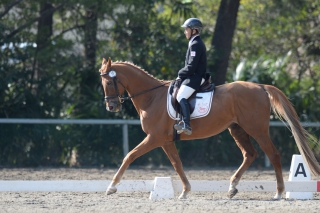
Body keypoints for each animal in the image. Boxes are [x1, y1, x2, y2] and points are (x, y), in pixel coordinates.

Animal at [99, 57, 320, 199]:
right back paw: (232, 188)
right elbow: (177, 164)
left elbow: (129, 156)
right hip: (237, 129)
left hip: (257, 130)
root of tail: (260, 86)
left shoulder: (154, 138)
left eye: (109, 82)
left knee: (273, 155)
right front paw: (185, 191)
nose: (111, 107)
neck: (151, 98)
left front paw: (111, 187)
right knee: (250, 154)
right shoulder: (166, 141)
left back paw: (279, 192)